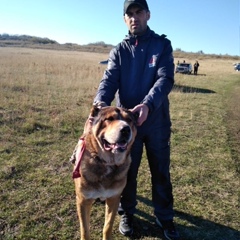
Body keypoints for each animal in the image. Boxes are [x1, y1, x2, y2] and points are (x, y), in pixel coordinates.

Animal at [72, 106, 137, 240]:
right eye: (110, 119)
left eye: (129, 120)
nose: (126, 129)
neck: (107, 163)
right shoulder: (83, 201)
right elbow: (85, 230)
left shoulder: (114, 198)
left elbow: (107, 226)